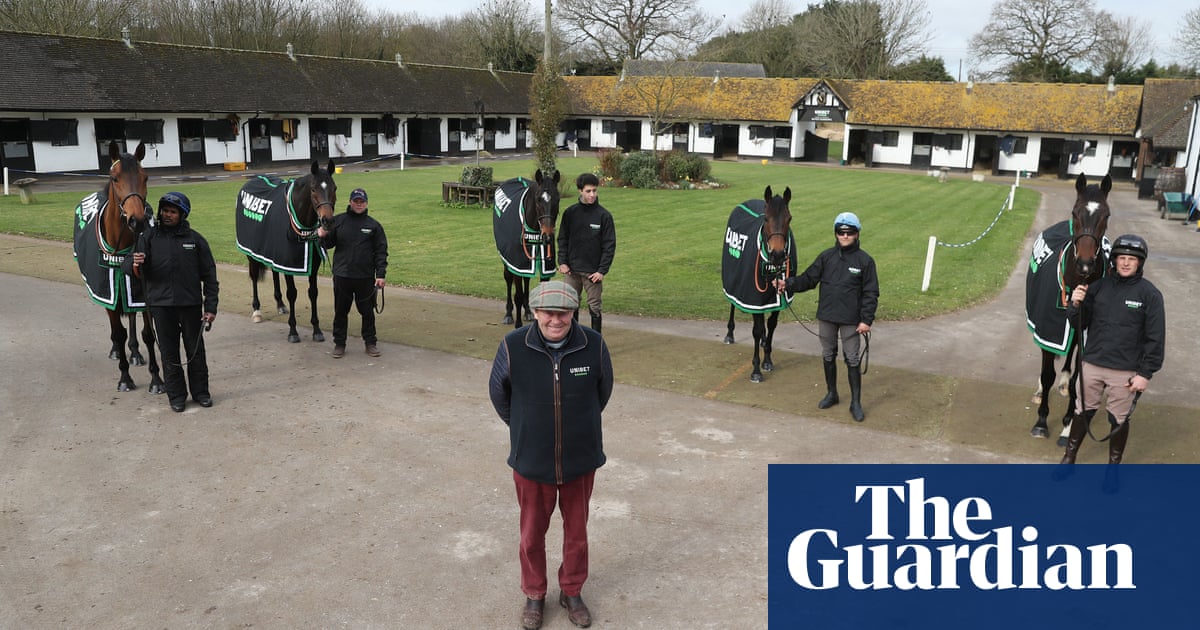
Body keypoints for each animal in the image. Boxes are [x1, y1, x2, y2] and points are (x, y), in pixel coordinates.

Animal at [72, 141, 163, 393]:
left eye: (145, 177)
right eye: (115, 178)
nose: (137, 220)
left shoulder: (139, 289)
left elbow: (148, 333)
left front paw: (156, 379)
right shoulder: (107, 288)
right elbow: (118, 332)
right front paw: (124, 377)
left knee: (131, 318)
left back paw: (135, 353)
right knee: (115, 328)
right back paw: (116, 351)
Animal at [234, 159, 338, 340]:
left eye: (334, 188)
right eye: (313, 189)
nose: (328, 221)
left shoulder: (312, 264)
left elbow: (313, 292)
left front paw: (316, 329)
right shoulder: (288, 261)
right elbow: (292, 293)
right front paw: (293, 331)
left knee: (275, 272)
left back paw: (280, 303)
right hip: (251, 253)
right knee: (254, 276)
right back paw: (257, 310)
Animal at [489, 169, 559, 326]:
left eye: (557, 199)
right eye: (538, 199)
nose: (547, 236)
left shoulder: (543, 267)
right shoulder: (516, 263)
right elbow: (518, 295)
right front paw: (518, 325)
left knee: (526, 280)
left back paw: (527, 311)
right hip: (507, 260)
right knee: (508, 280)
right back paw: (508, 313)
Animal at [720, 187, 796, 381]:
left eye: (789, 218)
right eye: (766, 219)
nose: (777, 254)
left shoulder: (779, 295)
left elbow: (771, 324)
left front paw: (767, 359)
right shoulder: (753, 295)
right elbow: (756, 329)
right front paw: (756, 370)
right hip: (734, 281)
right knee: (732, 303)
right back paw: (730, 334)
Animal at [1027, 170, 1108, 436]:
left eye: (1106, 215)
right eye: (1075, 212)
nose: (1085, 264)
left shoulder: (1086, 337)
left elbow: (1078, 380)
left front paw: (1069, 420)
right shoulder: (1048, 329)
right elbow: (1047, 373)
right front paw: (1042, 420)